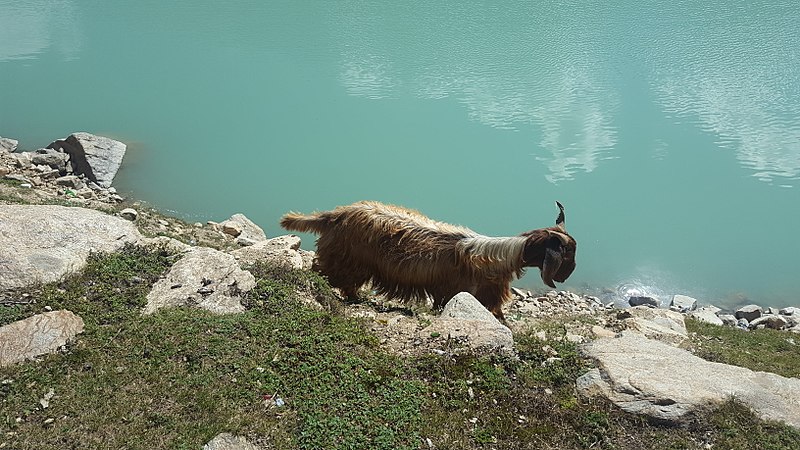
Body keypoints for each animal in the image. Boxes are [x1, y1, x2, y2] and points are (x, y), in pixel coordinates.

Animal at [282, 201, 576, 324]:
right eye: (568, 254)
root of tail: (334, 216)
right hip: (347, 260)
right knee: (324, 271)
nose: (566, 276)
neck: (499, 254)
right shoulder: (461, 292)